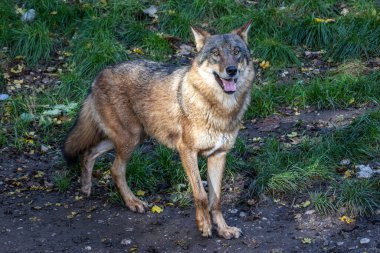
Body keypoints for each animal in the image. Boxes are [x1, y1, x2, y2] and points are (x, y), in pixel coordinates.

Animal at [63, 21, 255, 239]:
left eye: (236, 52)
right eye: (215, 53)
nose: (231, 70)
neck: (220, 108)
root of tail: (97, 76)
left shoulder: (219, 155)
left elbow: (217, 200)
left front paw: (223, 229)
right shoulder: (187, 151)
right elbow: (201, 195)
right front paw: (204, 226)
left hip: (129, 137)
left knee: (89, 153)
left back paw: (86, 188)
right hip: (129, 140)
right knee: (115, 170)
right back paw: (133, 203)